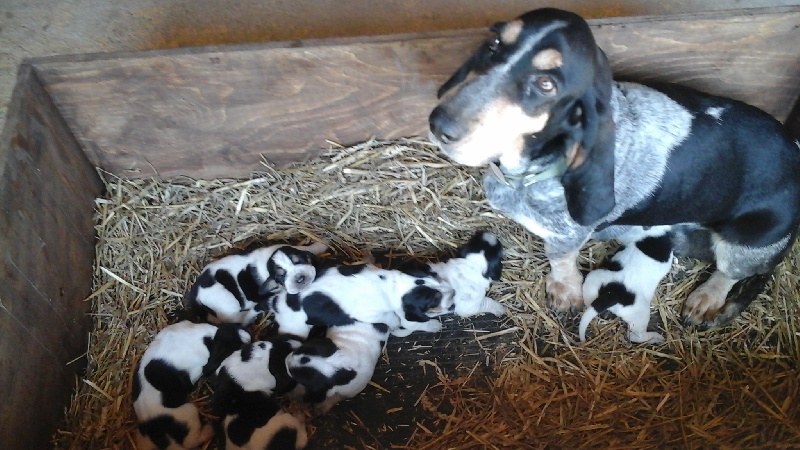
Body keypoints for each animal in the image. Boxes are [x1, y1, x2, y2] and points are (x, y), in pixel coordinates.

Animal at [132, 321, 251, 450]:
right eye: (237, 348)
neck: (209, 336)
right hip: (189, 411)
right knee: (192, 441)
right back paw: (210, 429)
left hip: (142, 439)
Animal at [186, 242, 327, 326]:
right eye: (280, 276)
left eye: (298, 260)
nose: (300, 278)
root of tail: (195, 292)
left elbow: (304, 248)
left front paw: (321, 244)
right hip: (225, 300)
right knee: (233, 318)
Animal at [428, 7, 800, 329]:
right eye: (493, 45)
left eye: (547, 84)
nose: (439, 124)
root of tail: (795, 151)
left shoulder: (566, 237)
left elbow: (560, 260)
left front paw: (564, 291)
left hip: (743, 243)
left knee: (730, 273)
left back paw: (706, 298)